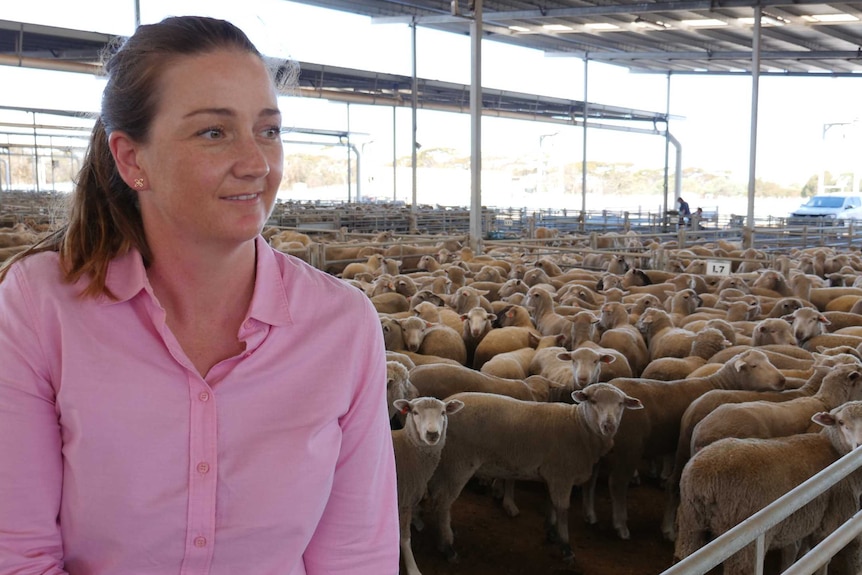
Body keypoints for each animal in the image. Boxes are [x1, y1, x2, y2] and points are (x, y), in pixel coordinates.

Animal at [396, 398, 470, 575]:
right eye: (415, 412)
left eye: (443, 412)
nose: (432, 434)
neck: (407, 448)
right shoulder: (405, 499)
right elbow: (405, 539)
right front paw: (413, 568)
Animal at [426, 382, 640, 564]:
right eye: (593, 401)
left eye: (620, 404)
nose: (609, 426)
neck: (580, 427)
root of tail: (444, 405)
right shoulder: (562, 474)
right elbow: (563, 509)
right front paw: (566, 547)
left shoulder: (551, 475)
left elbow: (551, 503)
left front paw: (551, 531)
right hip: (458, 463)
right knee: (442, 502)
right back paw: (448, 548)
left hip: (444, 463)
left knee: (435, 498)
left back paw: (443, 535)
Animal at [592, 348, 788, 544]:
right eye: (754, 366)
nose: (782, 380)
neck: (721, 383)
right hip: (630, 446)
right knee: (617, 483)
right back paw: (621, 526)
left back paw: (591, 515)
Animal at [680, 400, 862, 575]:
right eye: (841, 422)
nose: (859, 444)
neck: (833, 449)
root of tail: (705, 479)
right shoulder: (828, 523)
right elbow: (822, 560)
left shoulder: (804, 522)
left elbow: (797, 552)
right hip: (745, 543)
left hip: (691, 525)